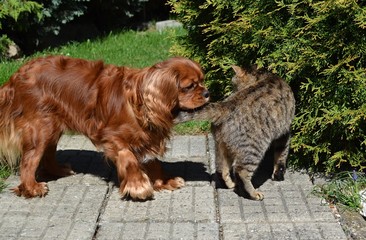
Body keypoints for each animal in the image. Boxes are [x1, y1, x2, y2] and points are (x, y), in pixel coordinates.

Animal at [0, 55, 209, 200]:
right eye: (189, 86)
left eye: (202, 81)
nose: (207, 92)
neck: (139, 101)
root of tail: (17, 74)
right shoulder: (112, 137)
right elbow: (129, 158)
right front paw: (138, 186)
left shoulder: (148, 138)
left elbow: (154, 162)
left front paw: (164, 181)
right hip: (41, 127)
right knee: (29, 161)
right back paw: (32, 187)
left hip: (53, 126)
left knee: (48, 153)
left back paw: (58, 171)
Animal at [176, 65, 296, 201]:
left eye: (233, 83)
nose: (232, 89)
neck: (261, 76)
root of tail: (226, 106)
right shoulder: (285, 131)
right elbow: (282, 154)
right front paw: (279, 173)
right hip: (254, 149)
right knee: (240, 171)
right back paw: (253, 193)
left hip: (221, 145)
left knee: (221, 169)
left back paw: (230, 184)